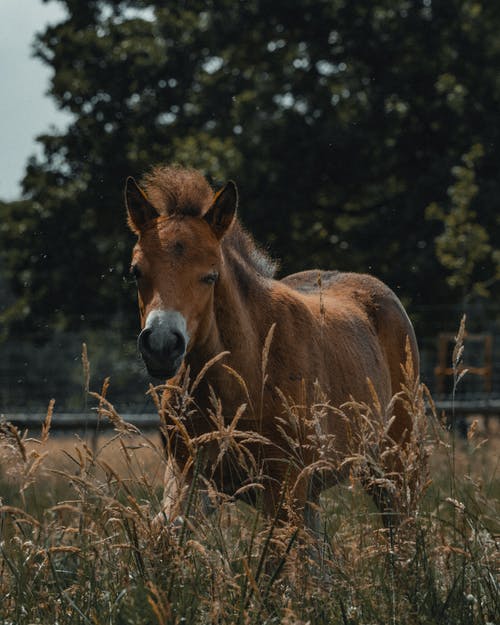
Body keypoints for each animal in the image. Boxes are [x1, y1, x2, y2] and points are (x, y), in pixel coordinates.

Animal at [124, 166, 418, 528]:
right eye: (136, 272)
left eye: (210, 275)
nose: (162, 344)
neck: (244, 378)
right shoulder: (189, 476)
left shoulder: (284, 483)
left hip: (392, 465)